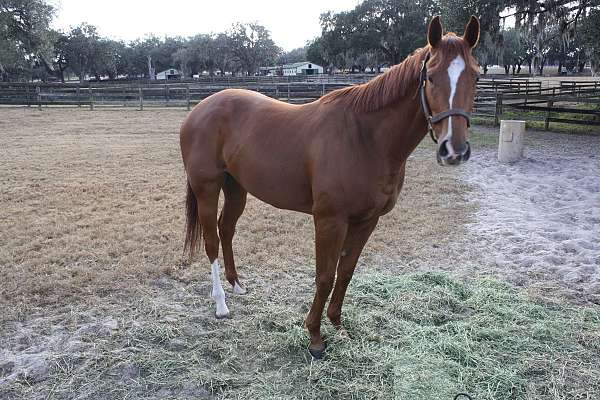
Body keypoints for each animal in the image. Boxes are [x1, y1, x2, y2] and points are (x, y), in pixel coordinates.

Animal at [180, 16, 480, 360]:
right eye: (430, 77)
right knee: (211, 241)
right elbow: (325, 276)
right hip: (207, 188)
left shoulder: (366, 221)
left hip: (236, 188)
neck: (364, 137)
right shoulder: (329, 220)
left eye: (476, 75)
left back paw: (237, 285)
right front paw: (315, 337)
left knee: (226, 229)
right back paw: (220, 304)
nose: (454, 150)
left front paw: (338, 325)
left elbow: (346, 272)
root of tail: (200, 109)